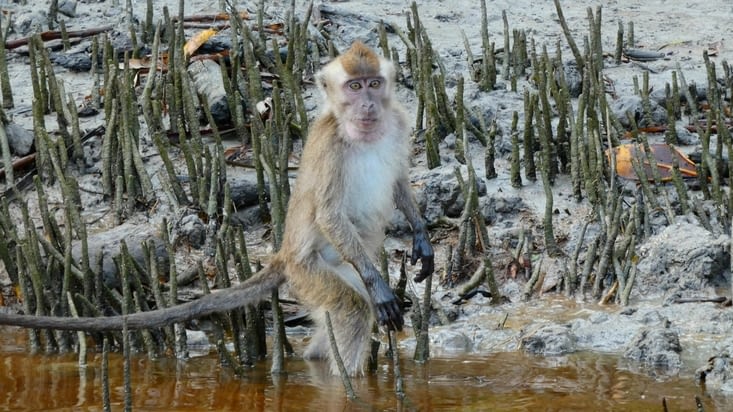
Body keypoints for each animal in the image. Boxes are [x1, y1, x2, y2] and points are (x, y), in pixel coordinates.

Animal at [0, 41, 434, 376]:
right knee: (352, 308)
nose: (368, 105)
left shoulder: (397, 119)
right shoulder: (330, 144)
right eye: (354, 86)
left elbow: (399, 179)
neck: (361, 133)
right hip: (309, 272)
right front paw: (380, 286)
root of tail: (282, 255)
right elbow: (328, 214)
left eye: (374, 84)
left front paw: (421, 238)